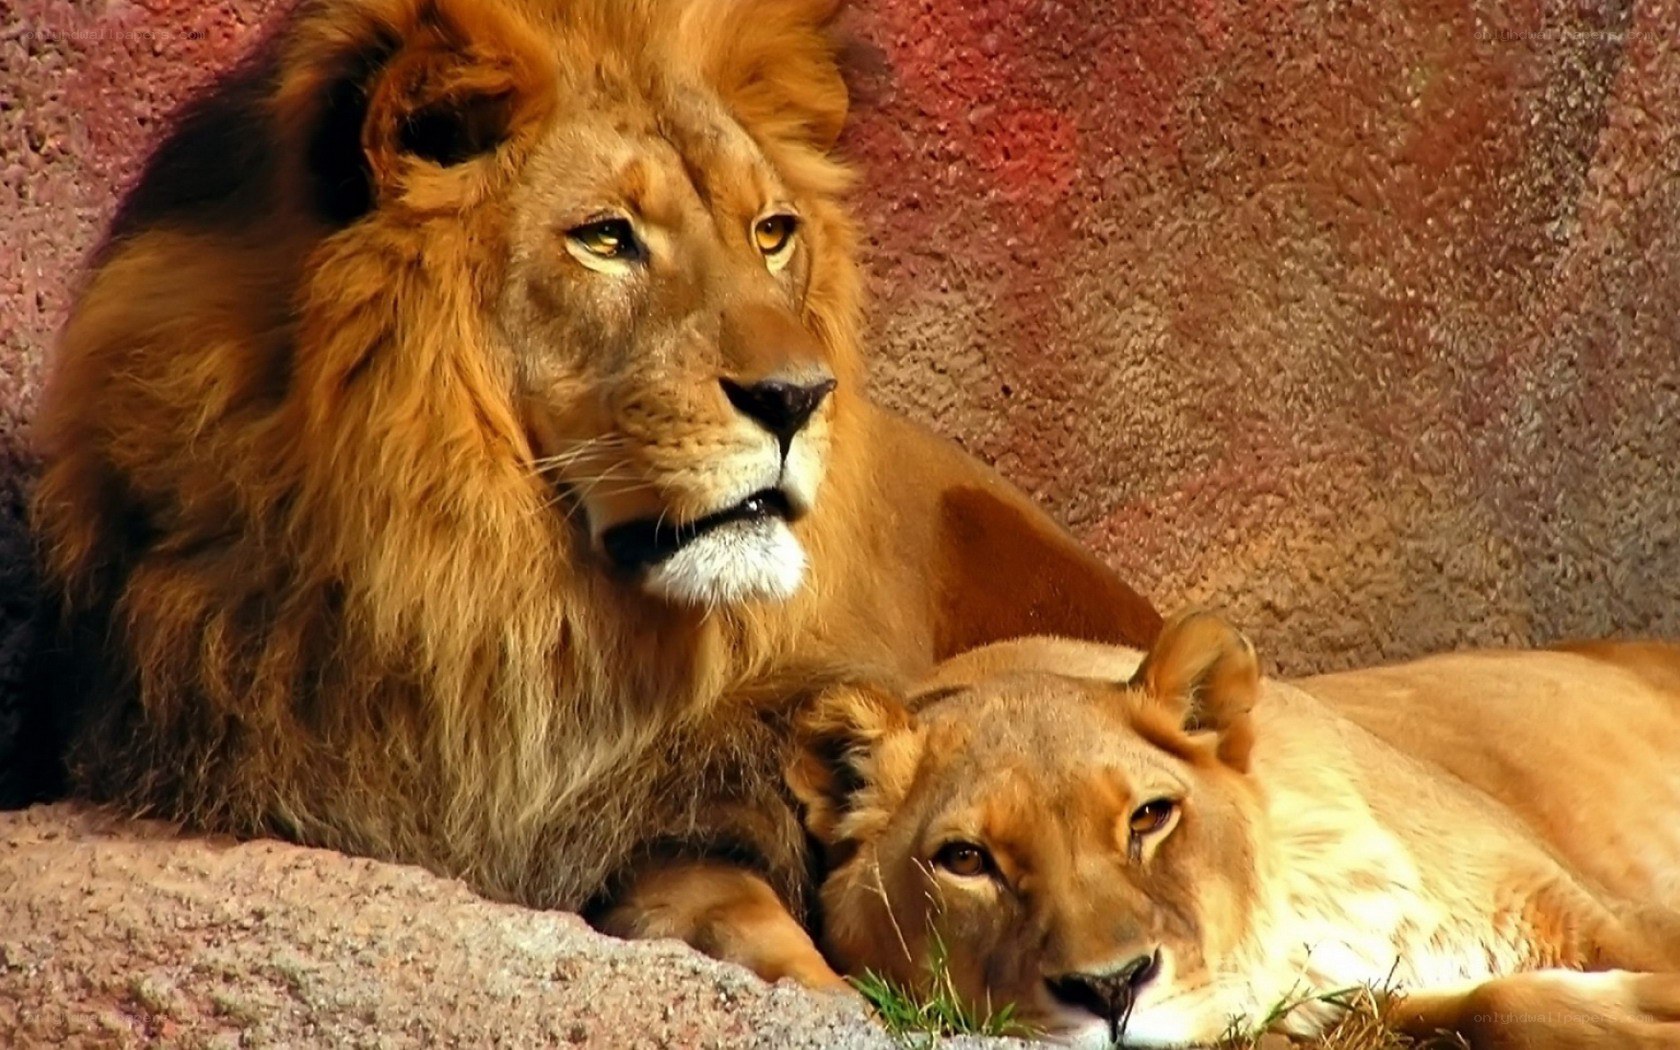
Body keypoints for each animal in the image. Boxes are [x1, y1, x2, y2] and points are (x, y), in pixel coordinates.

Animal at [783, 613, 1680, 1047]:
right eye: (966, 860)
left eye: (1150, 816)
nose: (1110, 990)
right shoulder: (1365, 1008)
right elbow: (1496, 1005)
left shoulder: (1592, 908)